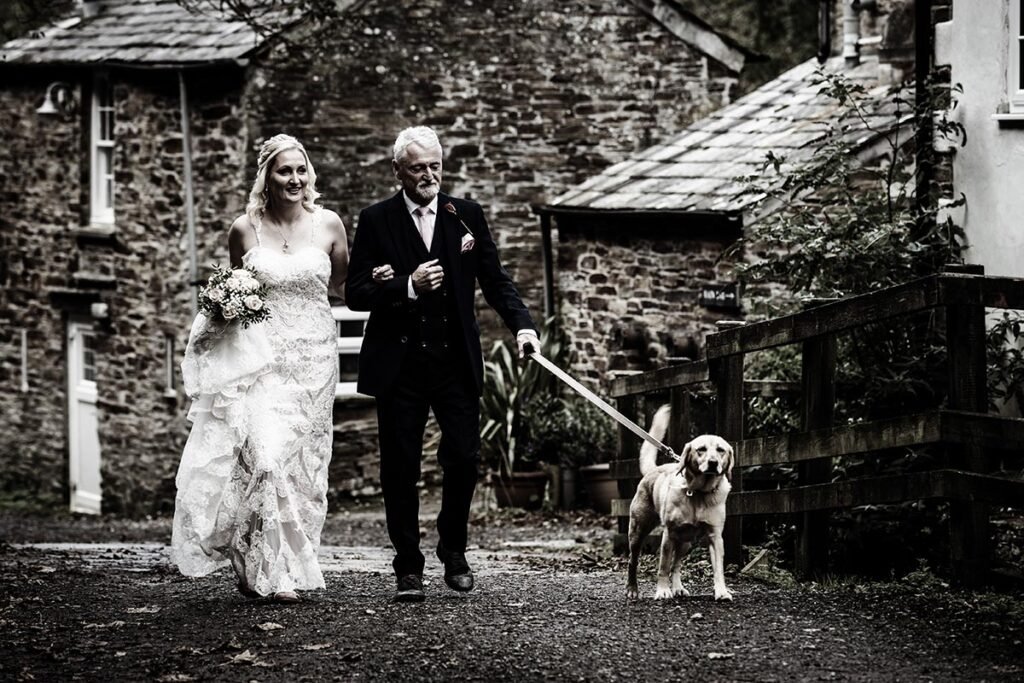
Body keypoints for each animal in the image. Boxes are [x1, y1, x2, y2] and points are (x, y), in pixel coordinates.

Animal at [626, 403, 733, 602]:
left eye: (720, 450)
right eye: (701, 449)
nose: (713, 463)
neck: (699, 493)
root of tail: (654, 470)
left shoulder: (715, 536)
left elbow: (718, 569)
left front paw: (722, 591)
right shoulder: (669, 534)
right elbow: (663, 566)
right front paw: (662, 590)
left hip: (686, 543)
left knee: (676, 566)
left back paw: (677, 587)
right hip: (637, 532)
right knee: (633, 560)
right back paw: (632, 589)